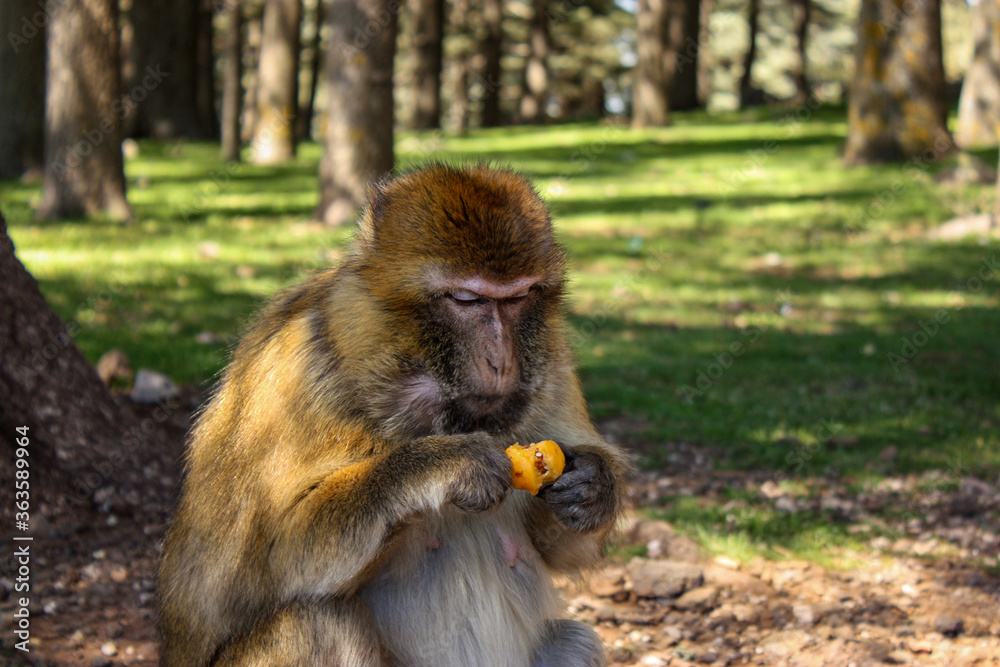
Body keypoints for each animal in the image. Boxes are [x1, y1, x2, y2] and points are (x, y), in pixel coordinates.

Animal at [157, 163, 632, 667]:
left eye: (519, 298)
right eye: (467, 299)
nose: (502, 362)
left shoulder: (553, 362)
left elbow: (562, 552)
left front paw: (593, 485)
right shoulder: (297, 371)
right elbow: (274, 553)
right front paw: (441, 464)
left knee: (577, 641)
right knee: (316, 619)